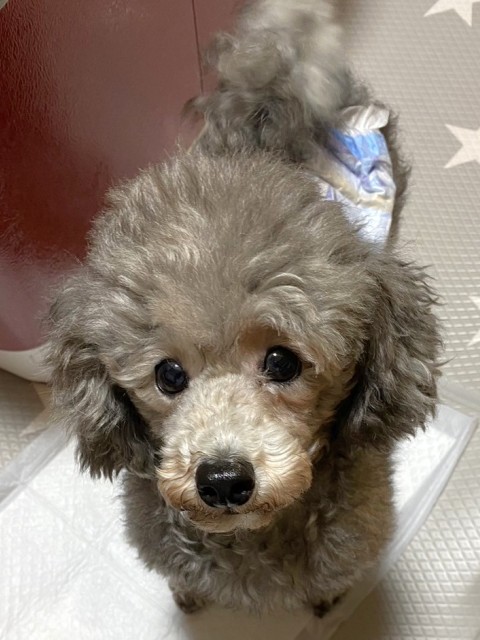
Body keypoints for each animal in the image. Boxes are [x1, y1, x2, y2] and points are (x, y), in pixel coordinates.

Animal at [47, 0, 441, 617]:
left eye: (282, 361)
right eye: (168, 374)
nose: (223, 480)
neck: (253, 534)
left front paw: (328, 605)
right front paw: (188, 598)